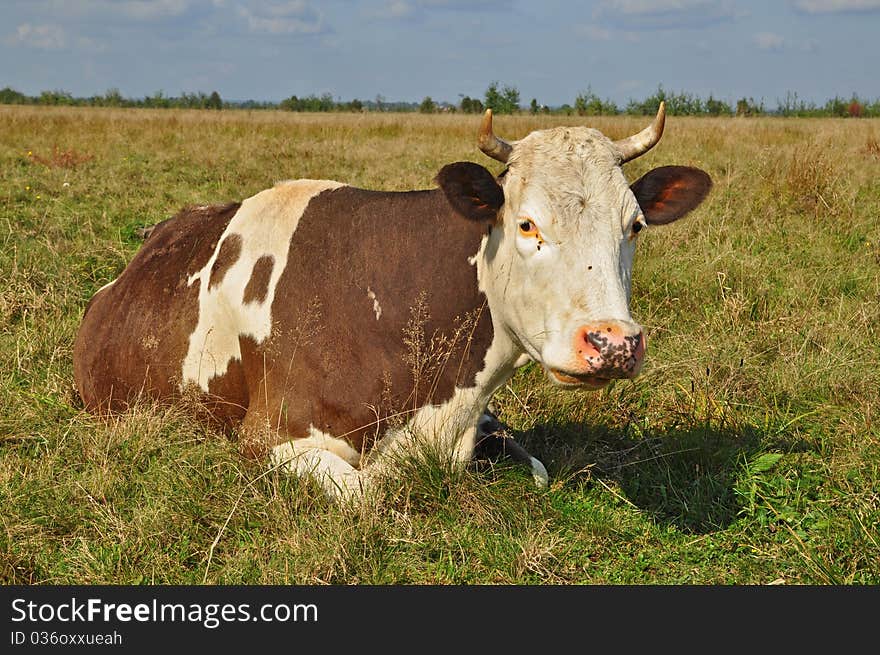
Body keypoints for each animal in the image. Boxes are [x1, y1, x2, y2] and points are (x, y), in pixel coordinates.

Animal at [72, 102, 712, 502]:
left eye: (635, 225)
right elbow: (370, 493)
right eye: (527, 224)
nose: (613, 342)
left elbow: (535, 469)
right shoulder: (269, 436)